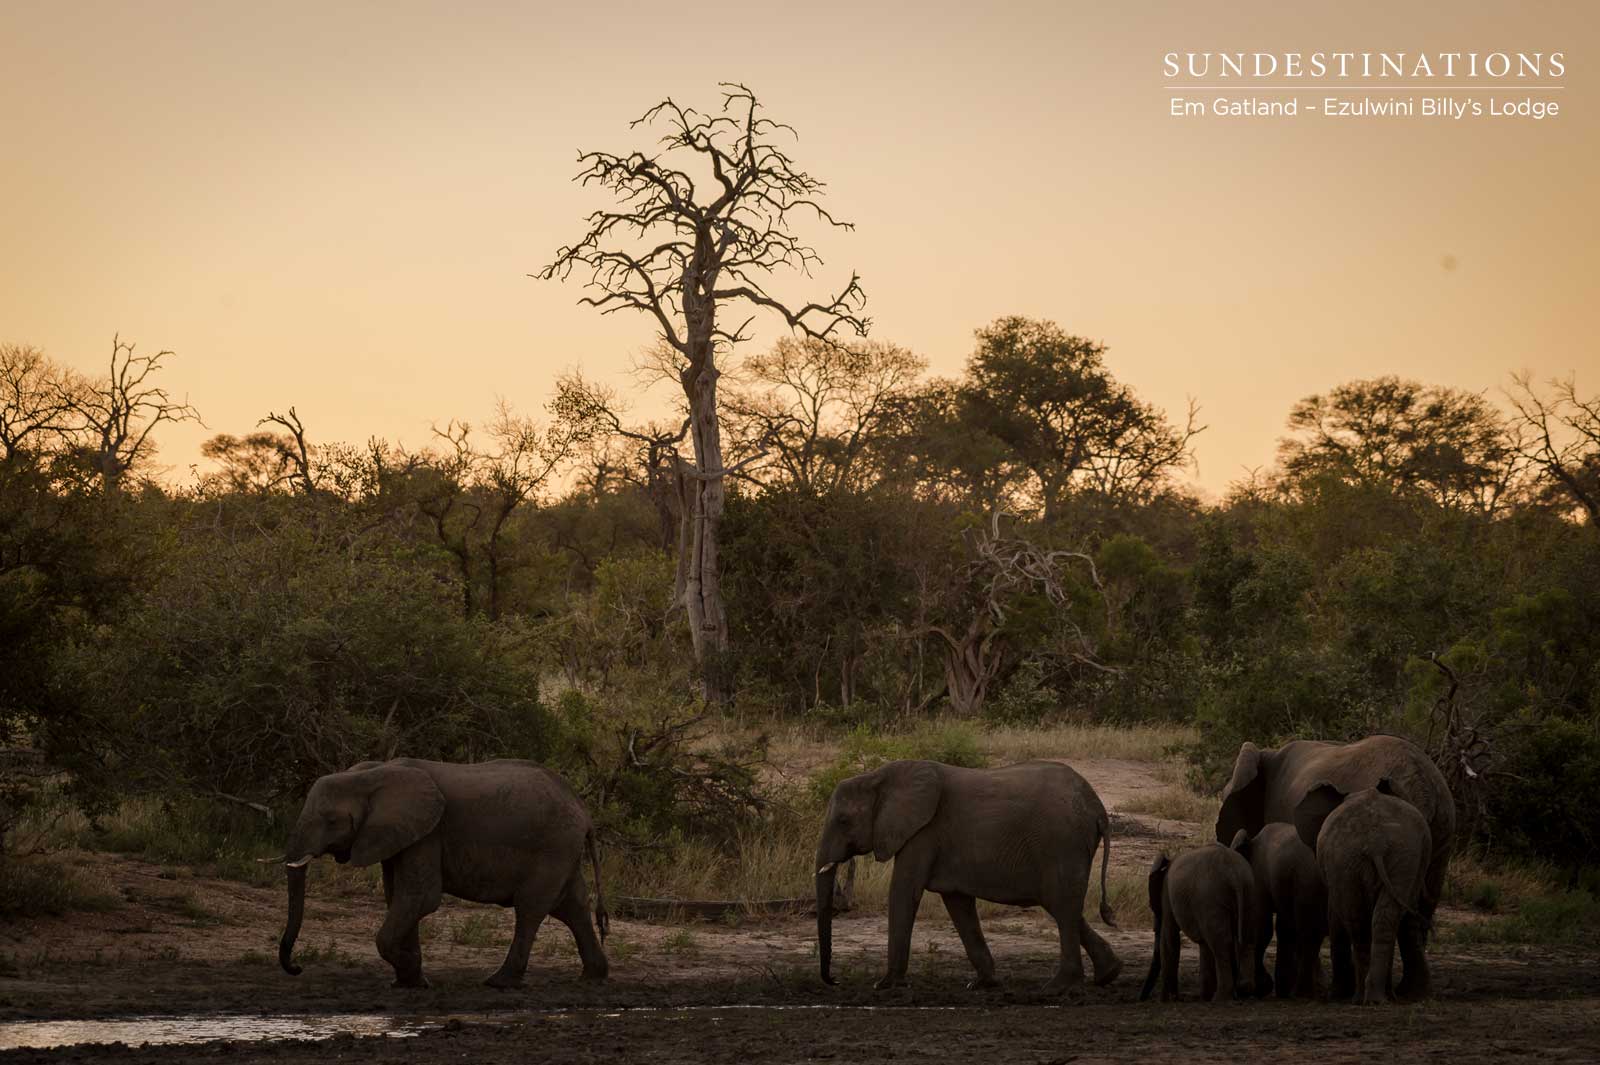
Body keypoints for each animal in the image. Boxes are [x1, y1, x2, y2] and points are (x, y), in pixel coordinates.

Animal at [278, 757, 609, 989]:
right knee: (572, 907)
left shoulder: (428, 833)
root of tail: (583, 809)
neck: (373, 772)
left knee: (530, 909)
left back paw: (498, 983)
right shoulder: (400, 834)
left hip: (553, 848)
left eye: (331, 820)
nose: (296, 968)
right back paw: (593, 977)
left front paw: (413, 972)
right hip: (563, 852)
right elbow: (399, 896)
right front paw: (409, 982)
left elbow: (420, 897)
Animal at [814, 759, 1122, 994]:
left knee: (1062, 905)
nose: (835, 981)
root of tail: (1098, 809)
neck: (878, 776)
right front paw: (982, 985)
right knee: (1062, 904)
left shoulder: (922, 833)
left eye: (843, 821)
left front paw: (885, 985)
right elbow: (958, 905)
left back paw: (1057, 988)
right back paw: (1108, 975)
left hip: (1062, 842)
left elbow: (903, 892)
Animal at [1139, 838, 1260, 1003]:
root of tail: (1234, 874)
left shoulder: (1167, 895)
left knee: (1220, 943)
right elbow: (1202, 944)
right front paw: (1203, 996)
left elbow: (1169, 940)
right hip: (1248, 892)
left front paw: (1166, 1000)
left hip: (1211, 899)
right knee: (1246, 938)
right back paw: (1244, 991)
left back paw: (1220, 998)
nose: (1141, 999)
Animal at [1234, 823, 1327, 1000]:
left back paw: (1300, 994)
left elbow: (1261, 927)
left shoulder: (1259, 877)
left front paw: (1261, 989)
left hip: (1306, 881)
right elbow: (1284, 928)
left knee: (1307, 932)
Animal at [1294, 779, 1432, 1005]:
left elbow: (1335, 918)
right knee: (1375, 920)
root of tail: (1376, 842)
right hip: (1387, 856)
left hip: (1358, 858)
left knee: (1361, 921)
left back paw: (1367, 998)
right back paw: (1373, 999)